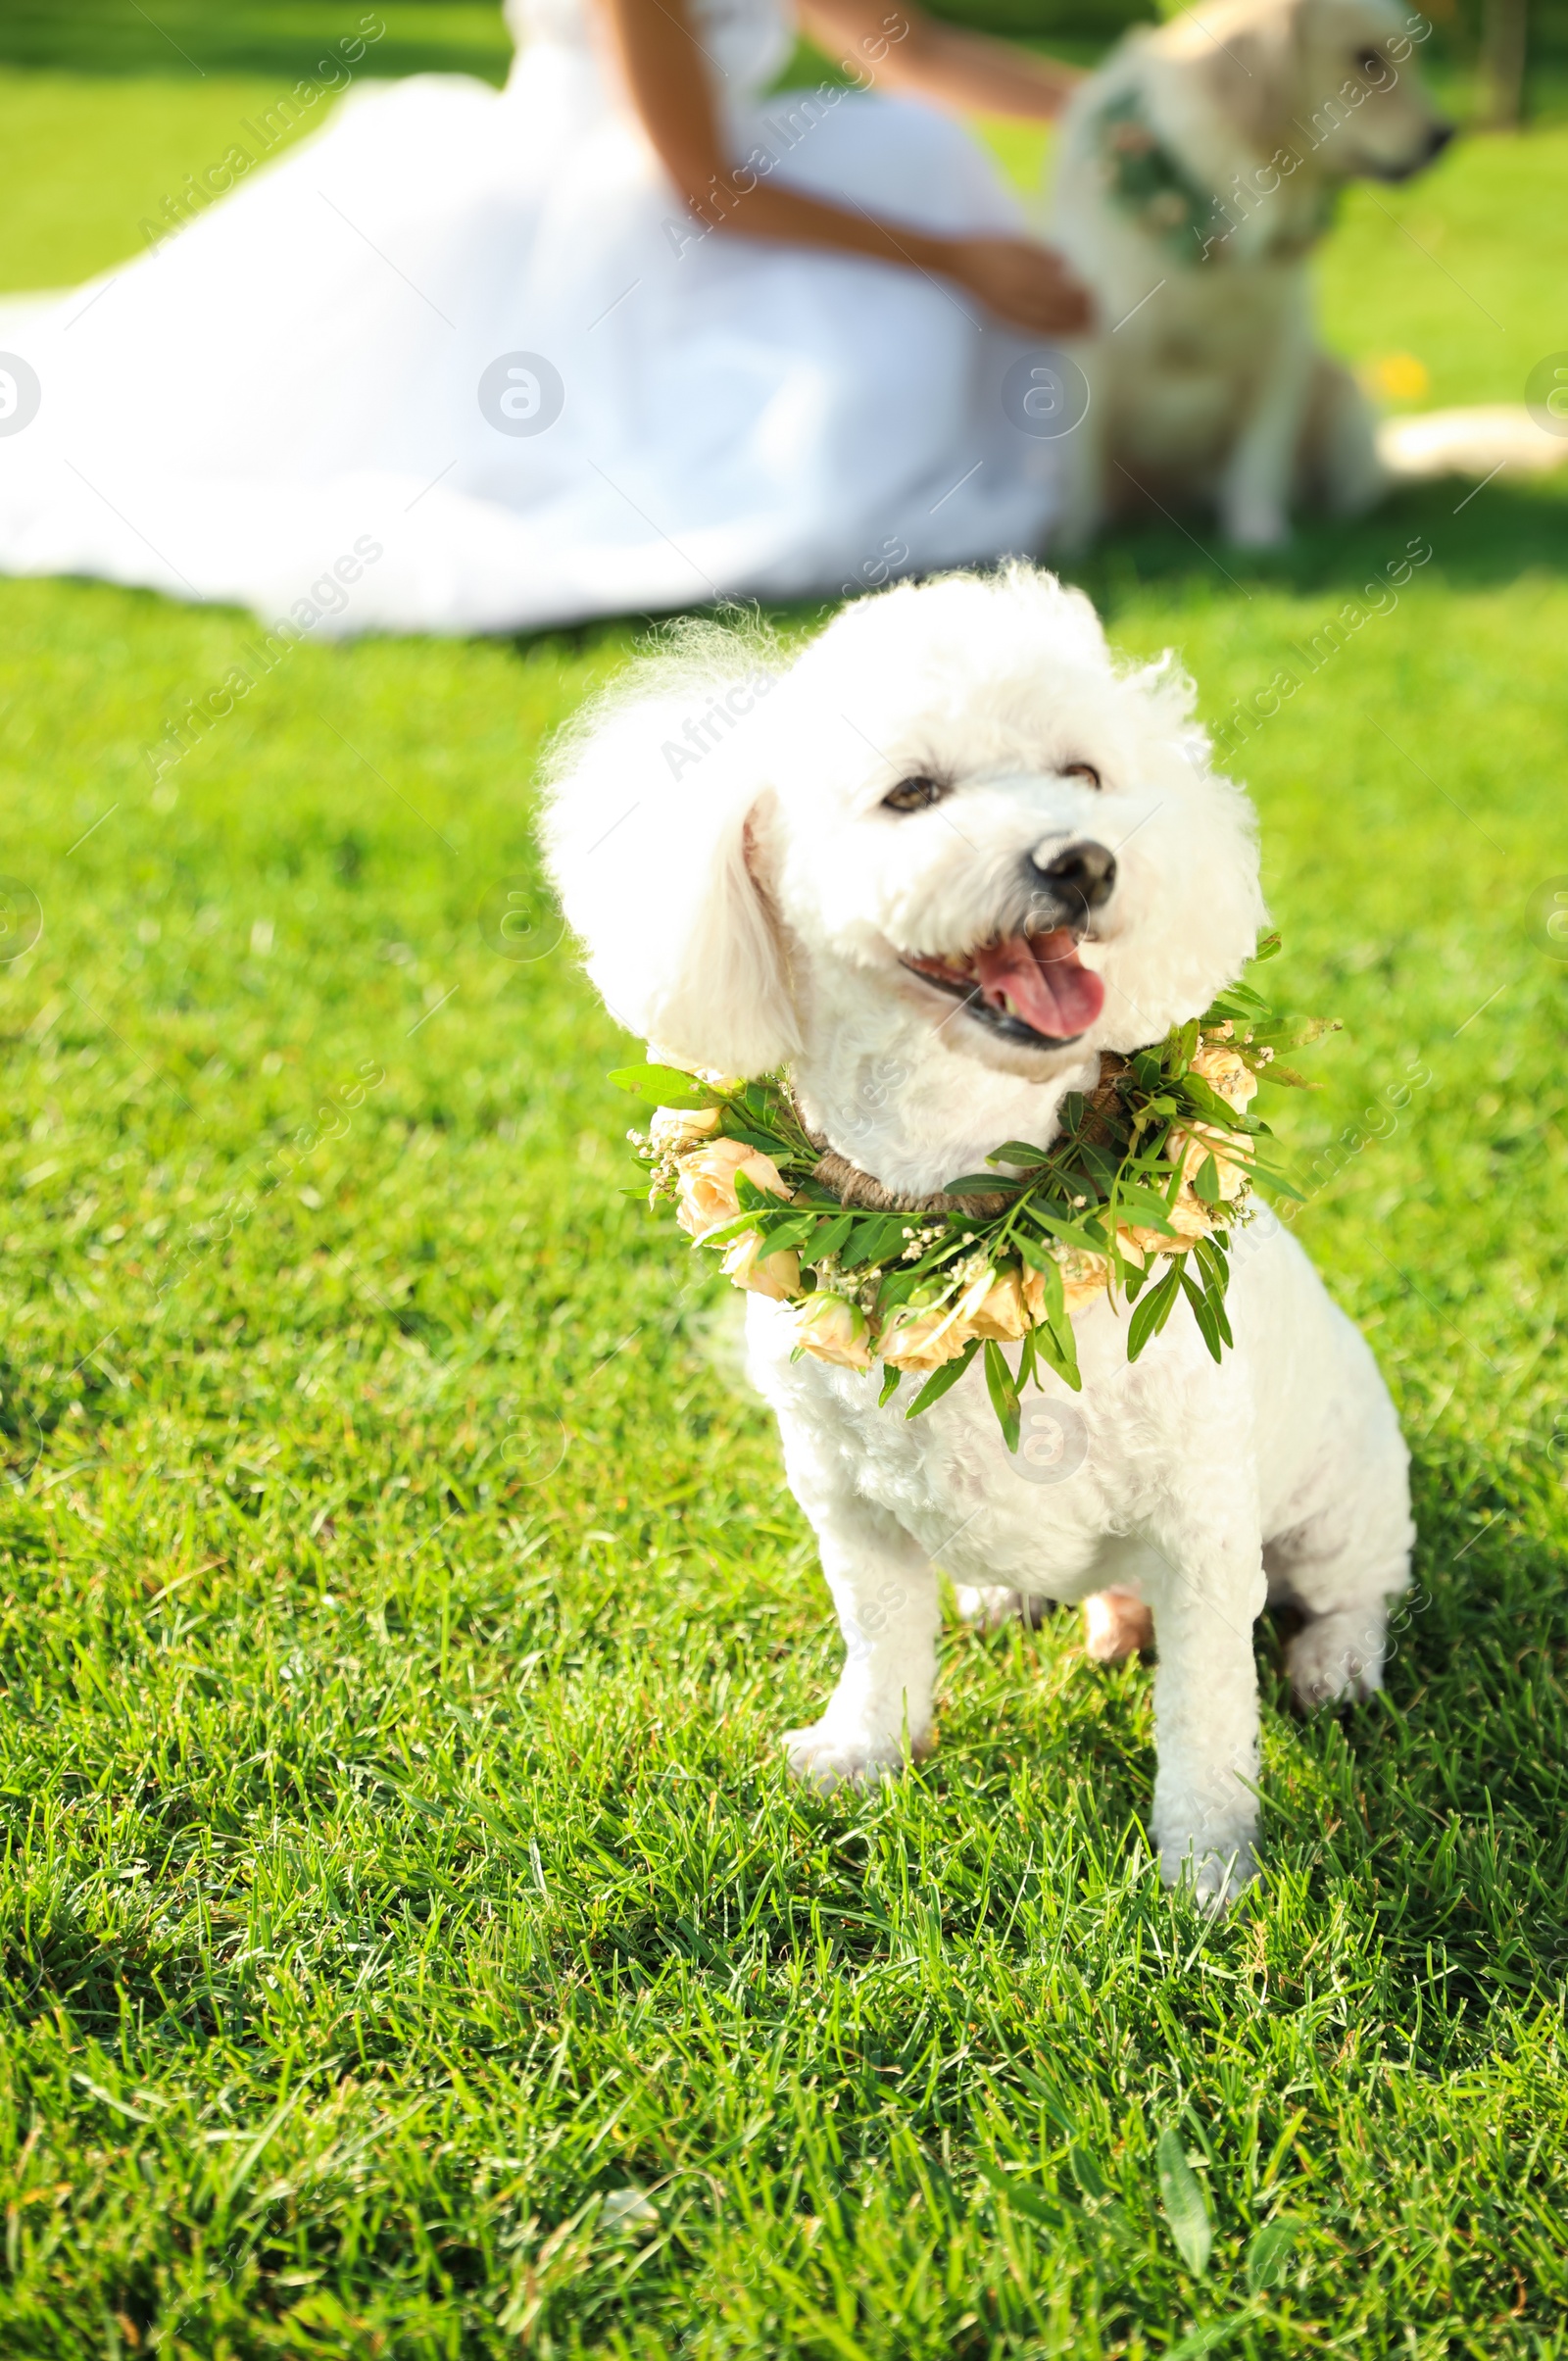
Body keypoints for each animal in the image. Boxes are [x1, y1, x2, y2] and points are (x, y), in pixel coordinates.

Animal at [545, 566, 1416, 1897]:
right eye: (910, 794)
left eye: (1085, 774)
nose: (1084, 861)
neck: (963, 1194)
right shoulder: (843, 1499)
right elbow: (880, 1637)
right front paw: (864, 1753)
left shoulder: (1204, 1523)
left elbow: (1208, 1708)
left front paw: (1204, 1870)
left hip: (1338, 1494)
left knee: (1351, 1586)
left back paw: (1335, 1666)